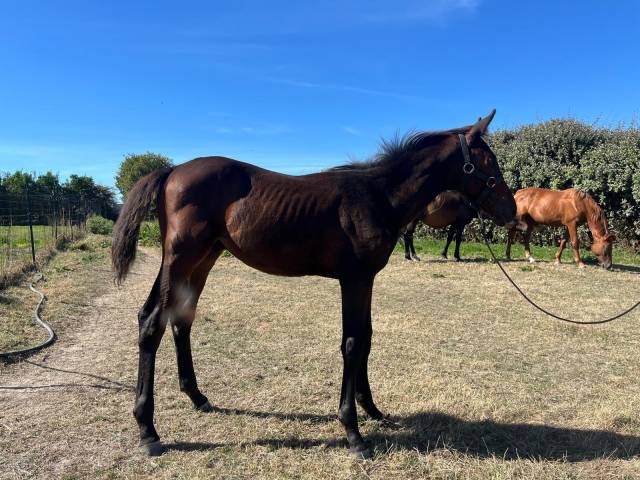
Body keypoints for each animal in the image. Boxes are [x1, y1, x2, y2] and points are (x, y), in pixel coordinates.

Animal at [111, 110, 516, 459]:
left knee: (181, 319)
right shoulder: (354, 279)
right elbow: (352, 343)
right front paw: (353, 432)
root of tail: (172, 170)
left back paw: (198, 398)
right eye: (486, 162)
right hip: (180, 259)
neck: (378, 196)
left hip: (203, 260)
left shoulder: (366, 280)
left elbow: (366, 339)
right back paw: (148, 431)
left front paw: (373, 409)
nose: (510, 210)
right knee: (152, 322)